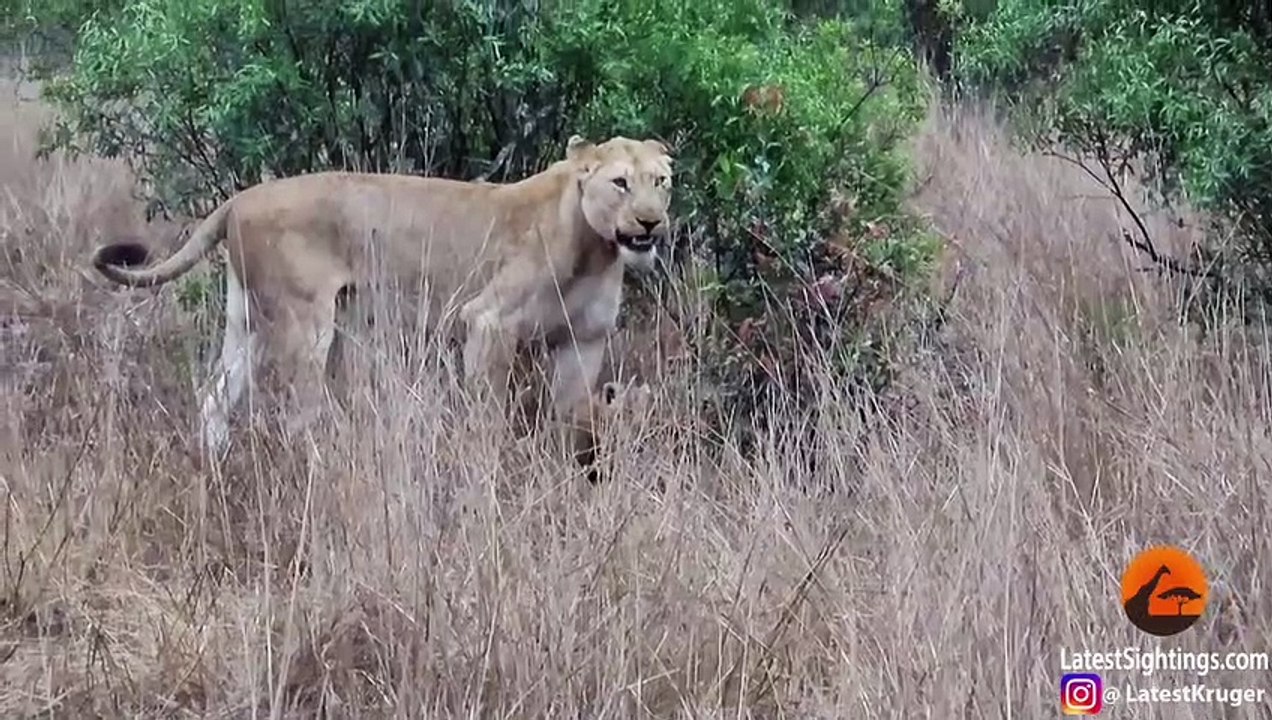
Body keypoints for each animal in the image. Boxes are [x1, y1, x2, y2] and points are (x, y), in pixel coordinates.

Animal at [89, 135, 675, 480]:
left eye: (661, 181)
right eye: (620, 182)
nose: (650, 222)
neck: (598, 248)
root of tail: (240, 198)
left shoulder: (584, 341)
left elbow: (573, 419)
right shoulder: (488, 322)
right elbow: (487, 414)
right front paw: (490, 471)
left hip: (250, 320)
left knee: (214, 396)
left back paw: (213, 468)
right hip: (306, 320)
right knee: (299, 415)